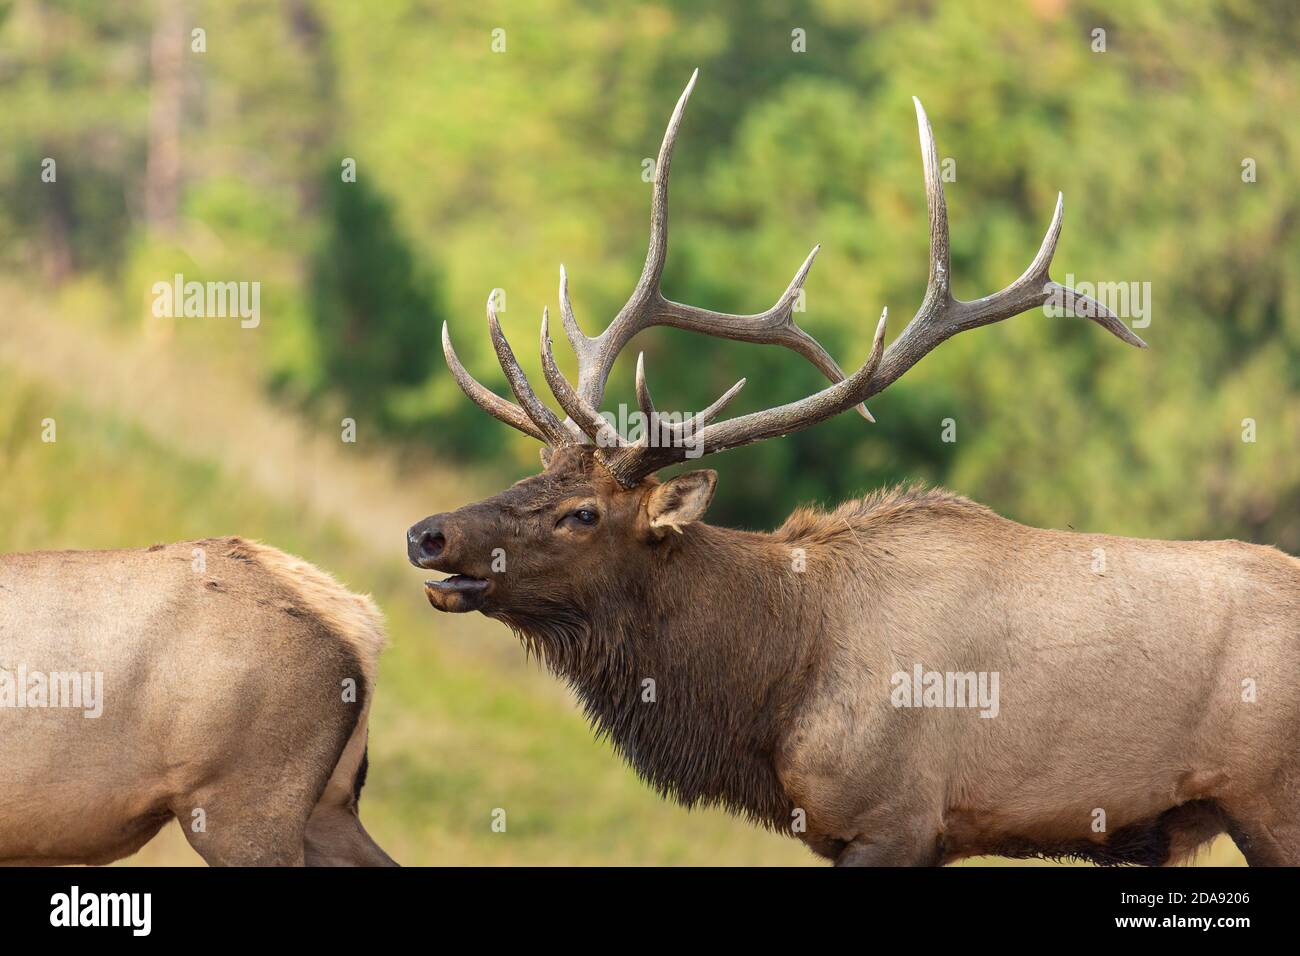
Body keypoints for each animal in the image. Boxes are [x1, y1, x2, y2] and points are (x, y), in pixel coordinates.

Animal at [407, 73, 1300, 867]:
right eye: (531, 479)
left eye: (584, 514)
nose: (427, 534)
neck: (774, 688)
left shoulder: (894, 817)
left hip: (1270, 800)